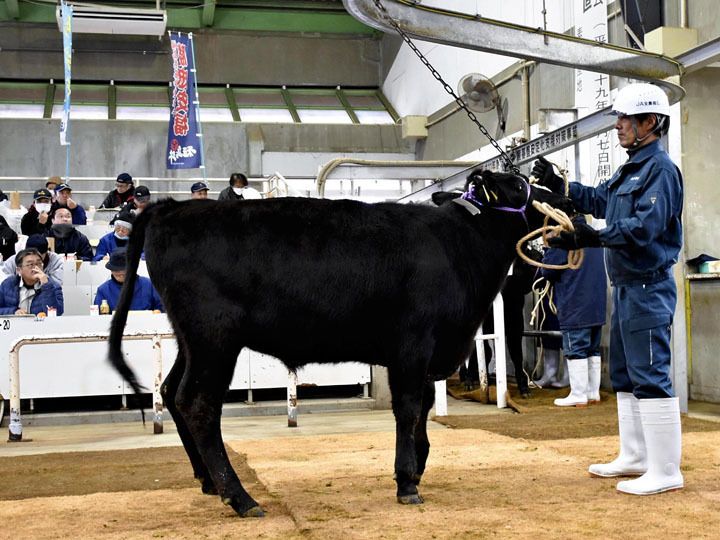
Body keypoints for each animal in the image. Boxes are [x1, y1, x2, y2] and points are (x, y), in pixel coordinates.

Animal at [107, 171, 572, 516]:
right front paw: (407, 482)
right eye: (519, 188)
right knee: (198, 404)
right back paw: (240, 497)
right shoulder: (413, 343)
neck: (458, 245)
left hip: (191, 340)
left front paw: (418, 464)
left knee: (171, 392)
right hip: (214, 338)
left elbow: (422, 404)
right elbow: (408, 407)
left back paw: (207, 481)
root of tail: (174, 207)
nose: (566, 202)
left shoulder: (425, 351)